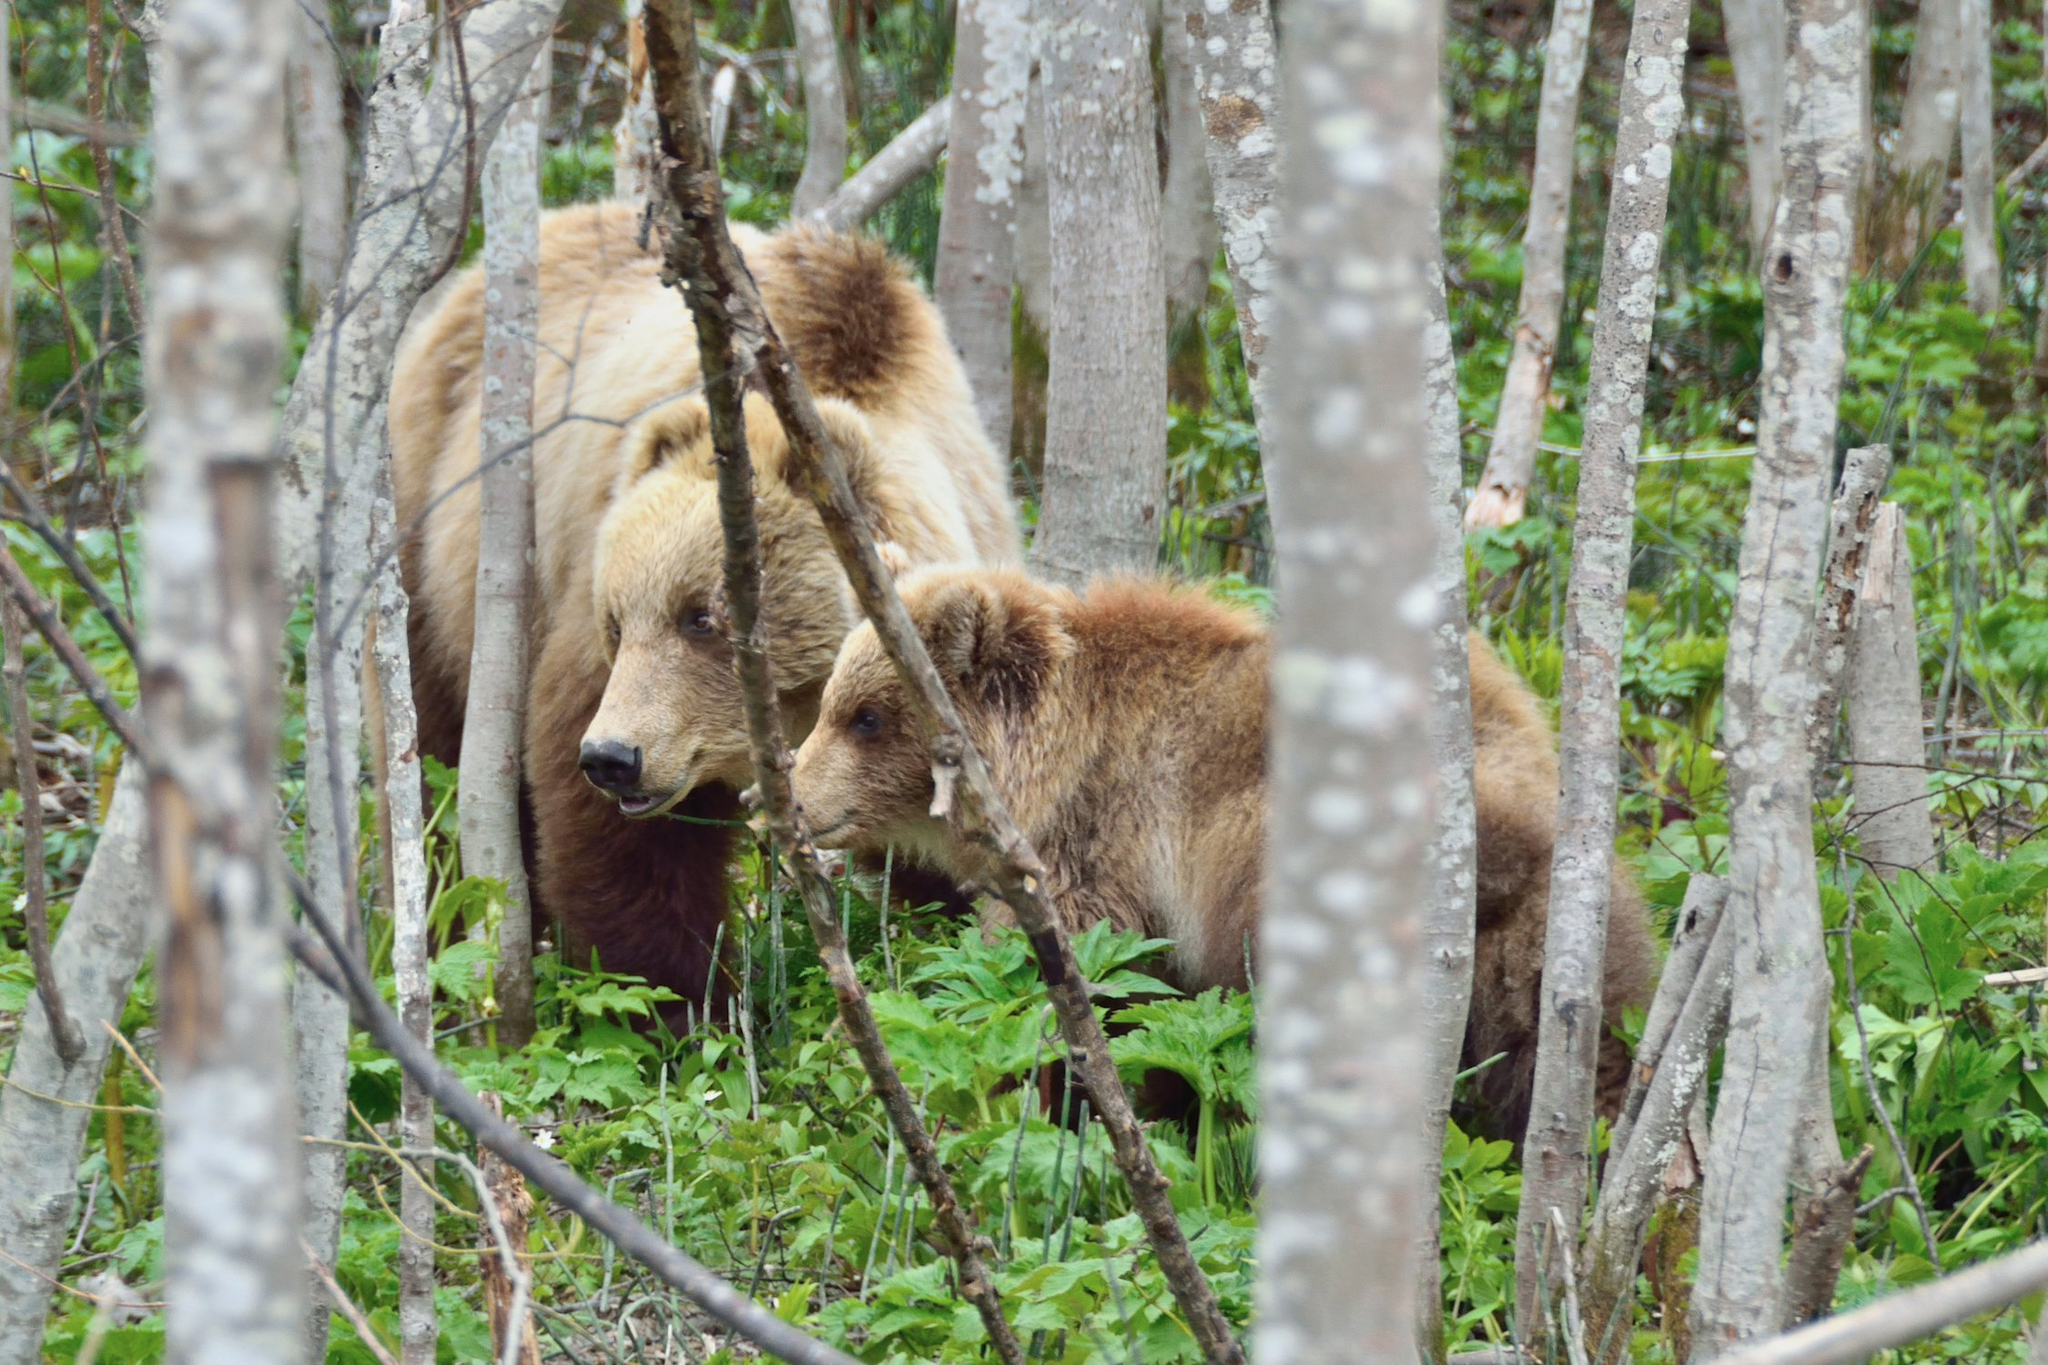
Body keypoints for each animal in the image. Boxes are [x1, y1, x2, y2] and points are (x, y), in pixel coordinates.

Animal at [387, 205, 1019, 1015]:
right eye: (618, 620)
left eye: (702, 618)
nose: (613, 758)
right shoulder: (591, 624)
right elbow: (629, 856)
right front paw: (686, 1002)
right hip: (431, 544)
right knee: (433, 766)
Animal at [786, 568, 1662, 1146]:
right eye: (831, 698)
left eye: (866, 716)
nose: (792, 791)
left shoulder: (1101, 849)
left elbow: (1069, 990)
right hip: (1549, 942)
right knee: (1577, 1052)